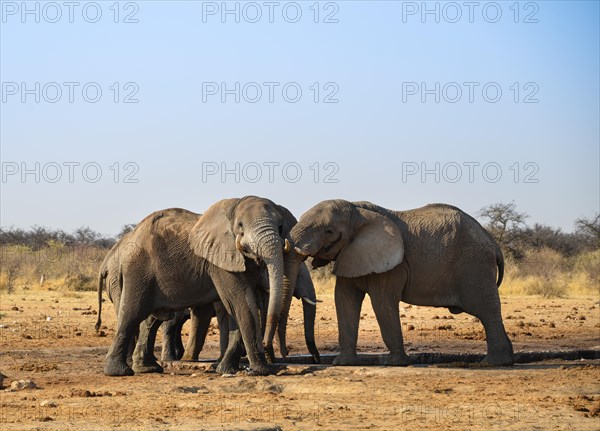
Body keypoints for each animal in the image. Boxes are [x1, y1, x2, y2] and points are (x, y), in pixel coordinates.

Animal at [97, 197, 300, 376]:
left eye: (281, 227)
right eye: (240, 226)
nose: (285, 353)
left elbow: (240, 306)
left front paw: (227, 369)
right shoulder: (221, 260)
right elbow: (241, 303)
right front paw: (262, 370)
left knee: (151, 318)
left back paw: (147, 368)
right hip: (137, 272)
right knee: (132, 314)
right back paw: (119, 372)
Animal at [290, 201, 510, 366]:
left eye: (328, 231)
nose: (317, 360)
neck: (358, 210)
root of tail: (493, 242)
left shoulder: (393, 264)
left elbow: (382, 302)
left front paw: (394, 363)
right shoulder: (349, 254)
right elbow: (344, 300)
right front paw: (343, 363)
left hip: (475, 266)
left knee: (486, 311)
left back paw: (492, 363)